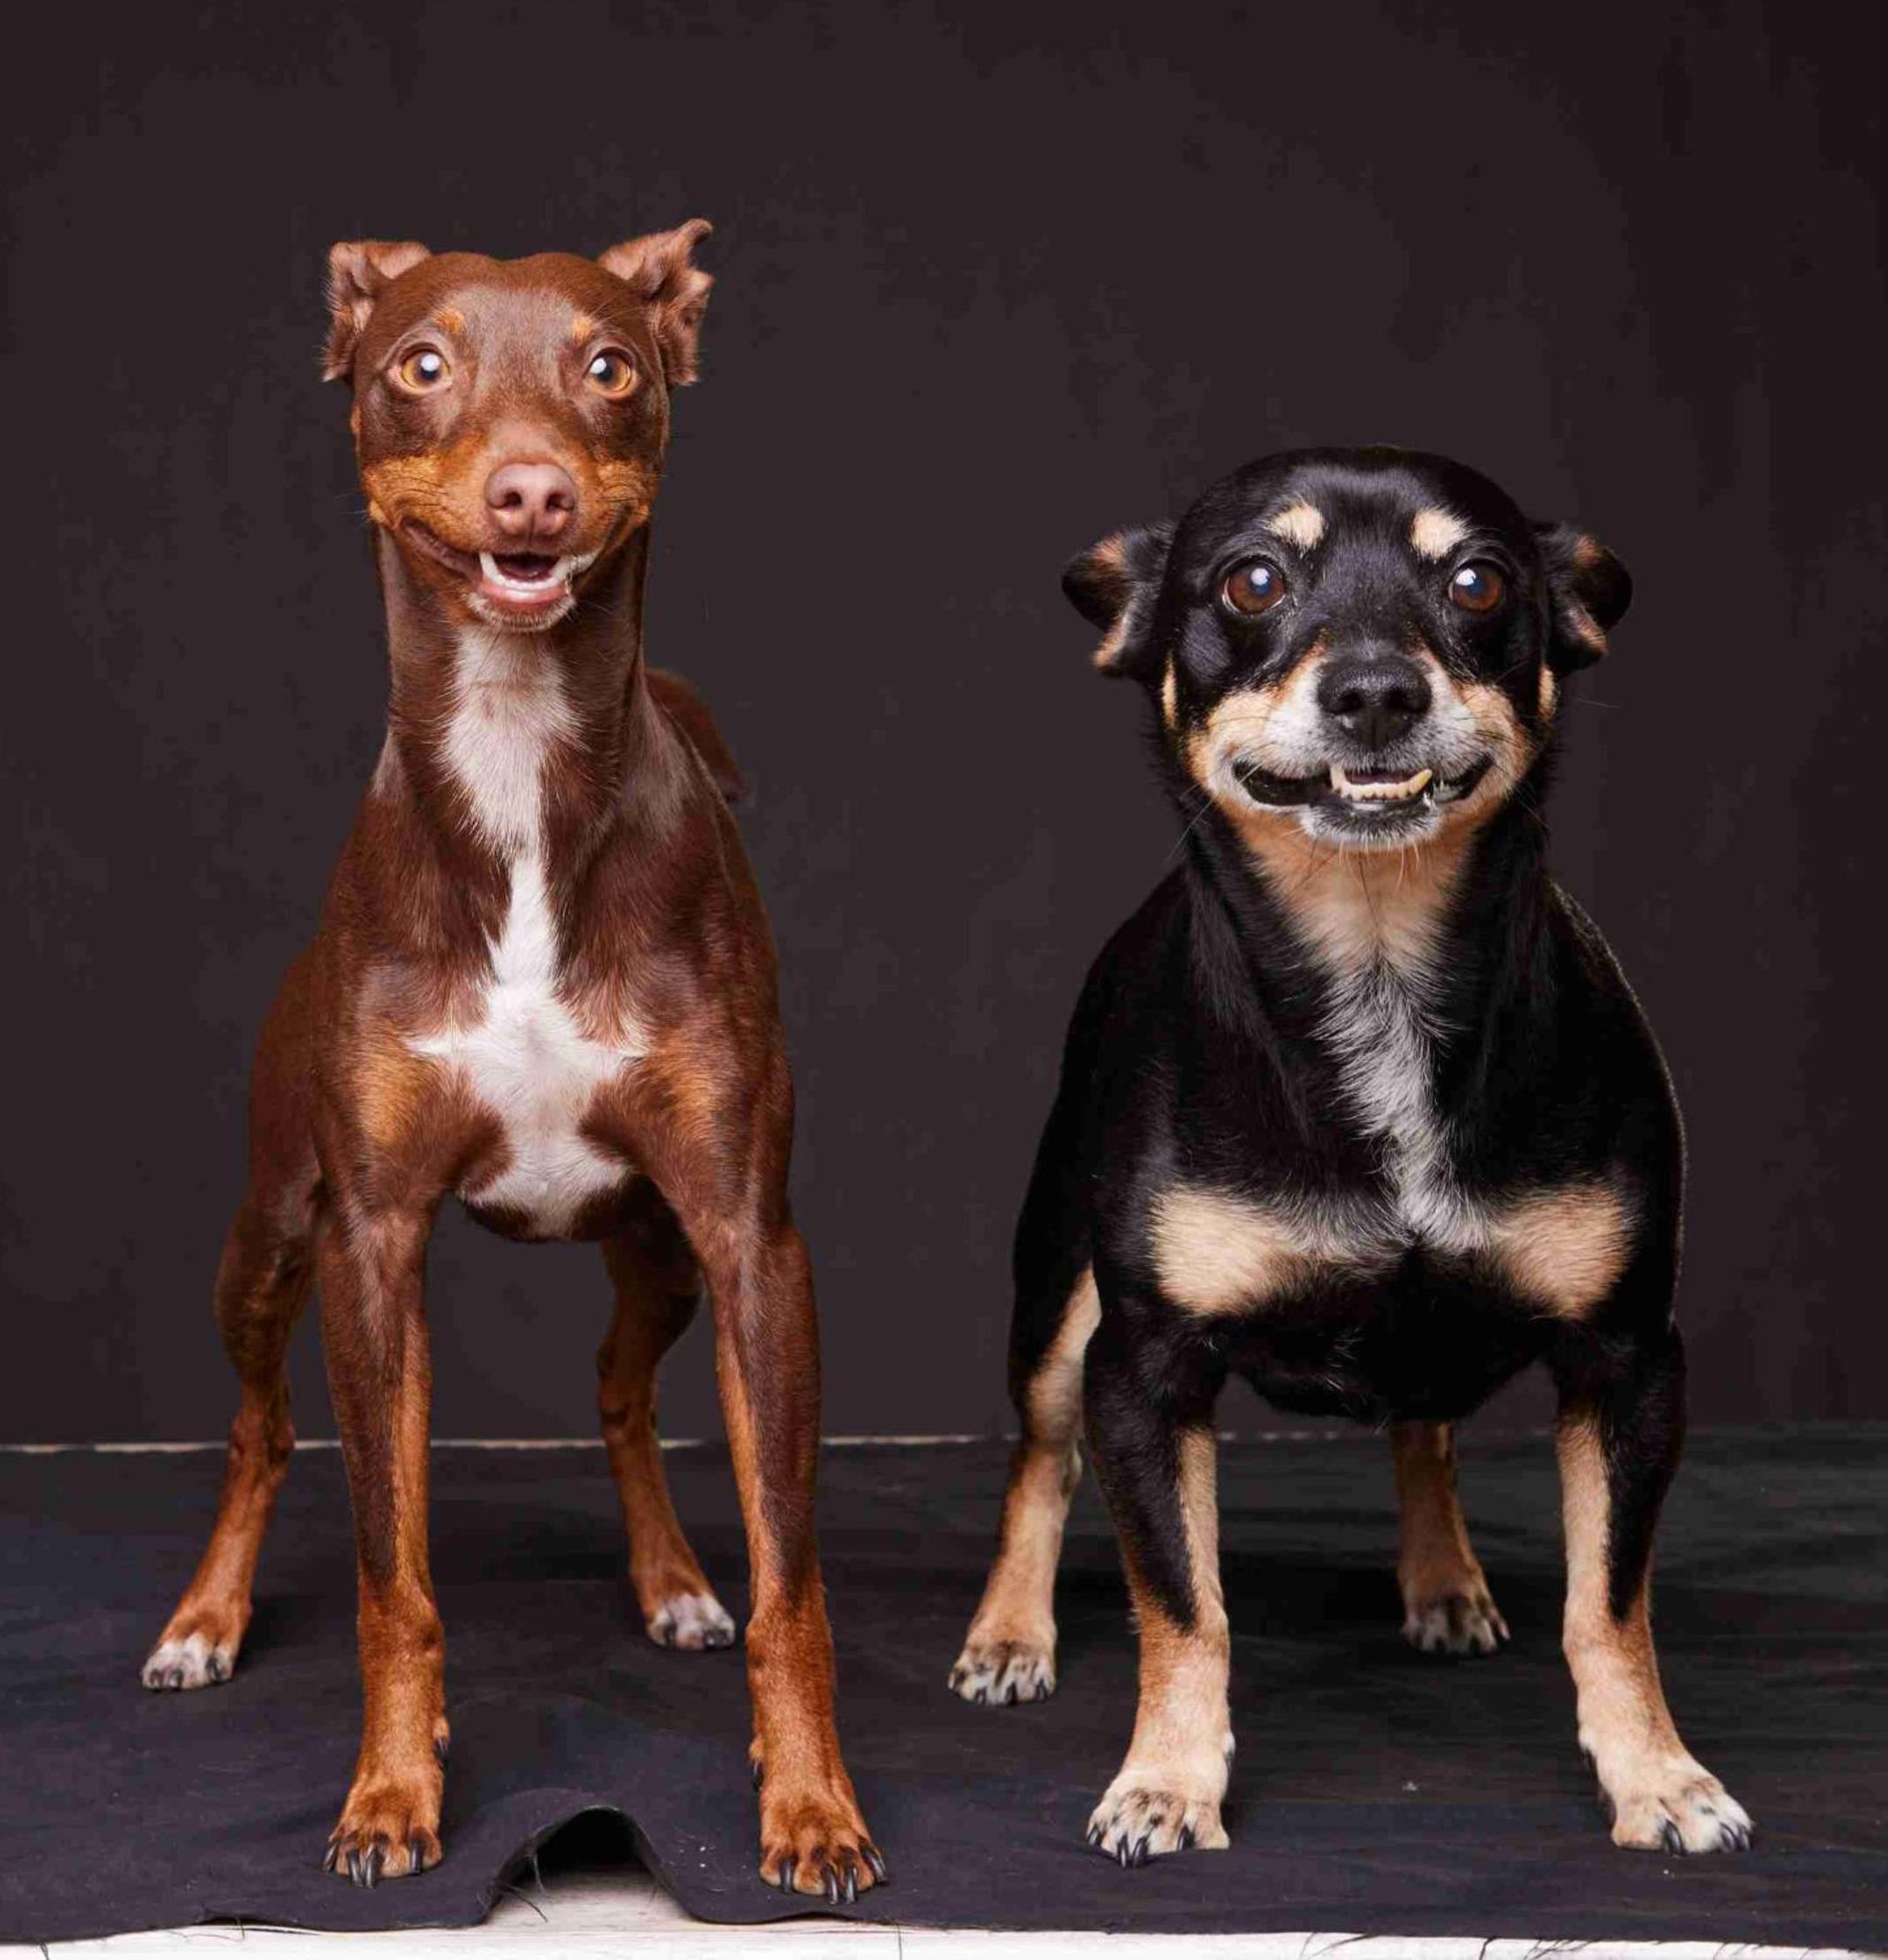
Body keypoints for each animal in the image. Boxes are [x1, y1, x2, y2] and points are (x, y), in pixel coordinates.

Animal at [140, 224, 883, 1901]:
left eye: (610, 368)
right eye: (422, 365)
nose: (534, 493)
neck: (520, 770)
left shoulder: (752, 1241)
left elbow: (792, 1572)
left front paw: (810, 1802)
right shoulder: (373, 1248)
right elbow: (389, 1572)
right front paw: (390, 1793)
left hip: (662, 1253)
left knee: (616, 1388)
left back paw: (673, 1582)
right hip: (268, 1242)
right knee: (259, 1426)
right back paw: (206, 1619)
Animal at [949, 447, 1752, 1866]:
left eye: (1476, 579)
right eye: (1251, 581)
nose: (1375, 689)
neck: (1373, 971)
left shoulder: (1625, 1362)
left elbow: (1608, 1604)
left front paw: (1656, 1775)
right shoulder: (1140, 1369)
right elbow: (1184, 1601)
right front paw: (1165, 1781)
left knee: (1420, 1429)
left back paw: (1440, 1579)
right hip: (1052, 1306)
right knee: (1037, 1460)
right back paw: (1007, 1631)